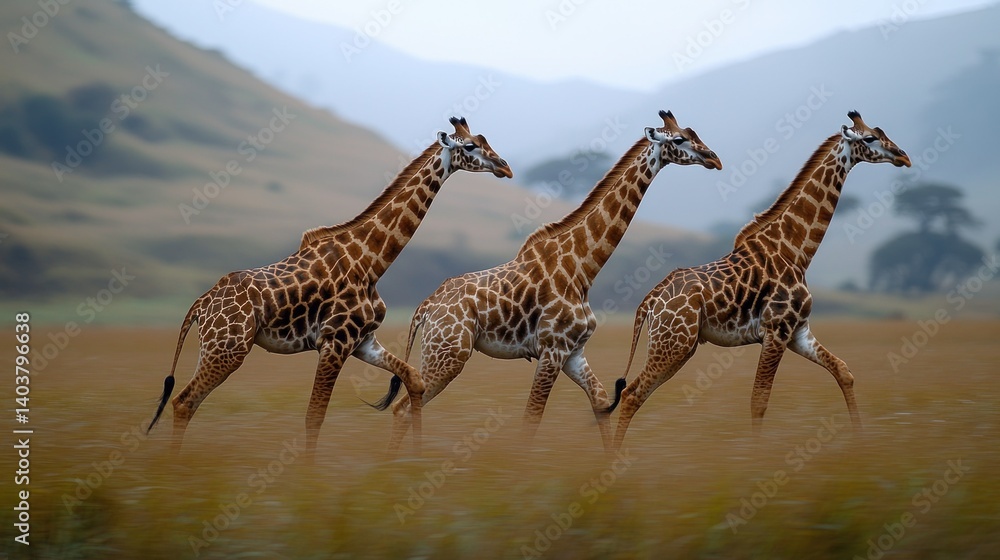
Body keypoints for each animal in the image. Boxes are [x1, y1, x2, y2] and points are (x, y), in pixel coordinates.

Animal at [147, 117, 512, 462]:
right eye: (470, 146)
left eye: (484, 139)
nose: (505, 167)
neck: (372, 263)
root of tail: (201, 304)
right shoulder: (334, 341)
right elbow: (315, 416)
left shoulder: (363, 341)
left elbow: (414, 380)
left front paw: (408, 460)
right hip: (227, 348)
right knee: (184, 401)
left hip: (218, 348)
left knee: (184, 401)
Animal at [372, 110, 722, 453]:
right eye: (679, 139)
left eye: (694, 133)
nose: (714, 159)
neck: (583, 267)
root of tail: (426, 307)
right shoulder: (552, 349)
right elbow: (532, 418)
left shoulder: (574, 352)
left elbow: (600, 402)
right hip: (448, 352)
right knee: (404, 405)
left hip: (442, 351)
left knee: (406, 404)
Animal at [606, 111, 911, 450]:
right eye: (869, 138)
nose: (903, 156)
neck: (796, 250)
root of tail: (649, 301)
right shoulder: (776, 330)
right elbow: (759, 400)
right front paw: (757, 457)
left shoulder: (798, 331)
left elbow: (843, 371)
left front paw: (861, 442)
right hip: (674, 344)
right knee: (632, 394)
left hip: (675, 345)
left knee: (631, 392)